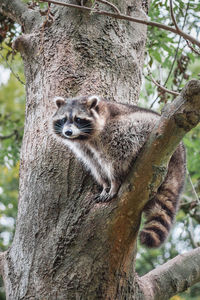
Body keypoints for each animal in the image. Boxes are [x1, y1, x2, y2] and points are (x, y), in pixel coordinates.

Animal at [52, 95, 186, 247]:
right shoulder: (86, 148)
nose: (68, 132)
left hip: (148, 126)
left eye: (78, 119)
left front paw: (114, 184)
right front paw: (105, 185)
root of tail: (180, 156)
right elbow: (96, 165)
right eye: (63, 119)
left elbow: (115, 157)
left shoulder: (109, 132)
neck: (85, 137)